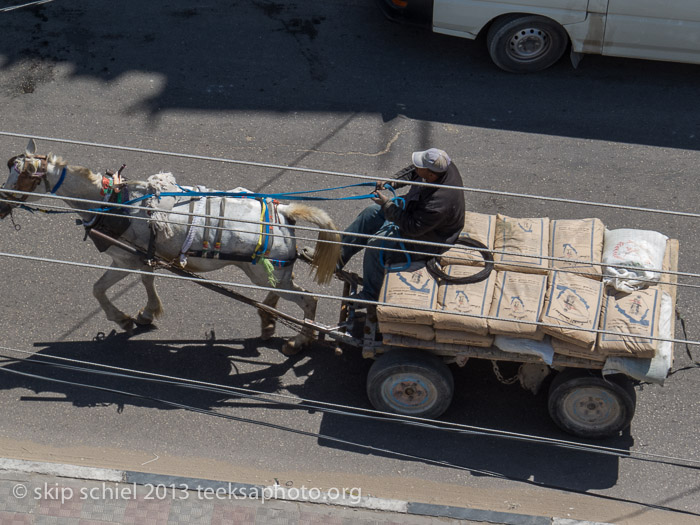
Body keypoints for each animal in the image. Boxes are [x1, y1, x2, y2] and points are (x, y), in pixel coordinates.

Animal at [2, 139, 342, 354]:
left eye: (23, 177)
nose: (2, 202)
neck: (111, 203)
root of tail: (283, 211)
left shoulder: (125, 259)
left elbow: (99, 289)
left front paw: (124, 317)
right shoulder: (139, 257)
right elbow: (145, 280)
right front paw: (146, 313)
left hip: (264, 272)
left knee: (308, 300)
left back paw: (300, 340)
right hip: (268, 272)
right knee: (281, 292)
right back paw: (268, 318)